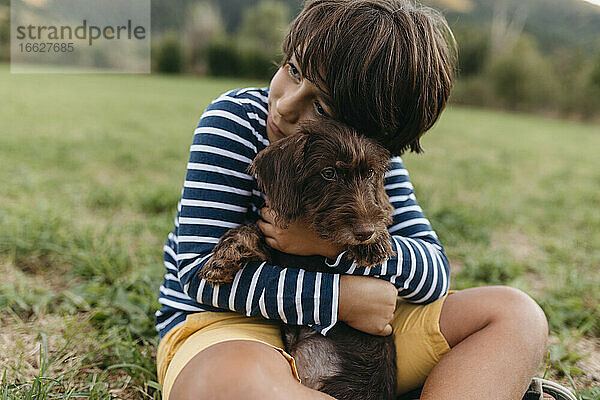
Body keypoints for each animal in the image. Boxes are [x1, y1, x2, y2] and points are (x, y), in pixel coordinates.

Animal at [202, 119, 398, 400]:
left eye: (370, 173)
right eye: (329, 173)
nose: (365, 231)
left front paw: (377, 240)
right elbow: (249, 229)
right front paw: (224, 258)